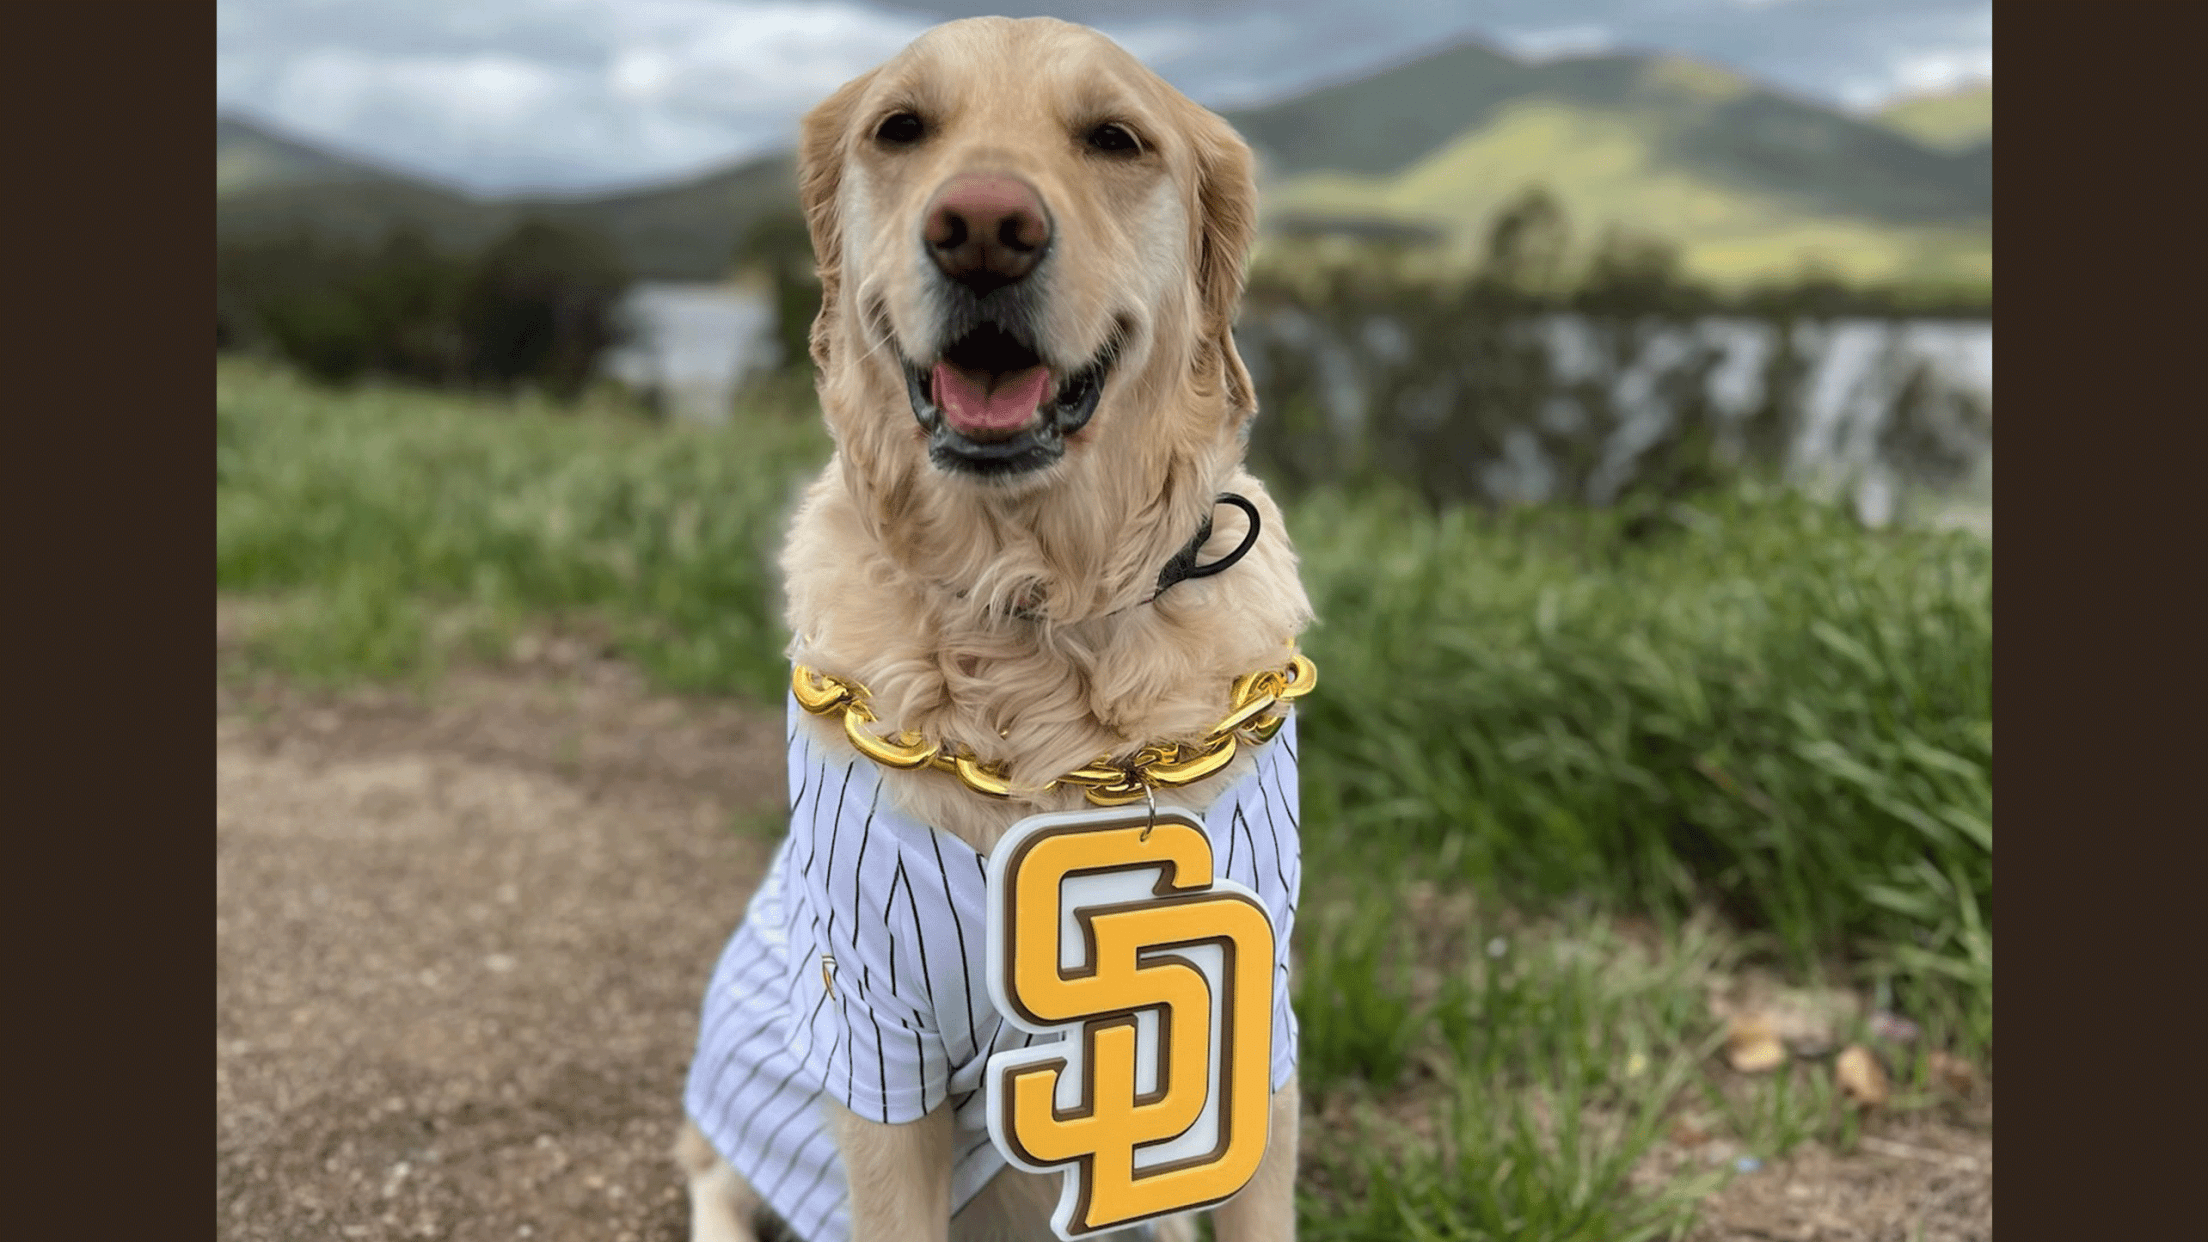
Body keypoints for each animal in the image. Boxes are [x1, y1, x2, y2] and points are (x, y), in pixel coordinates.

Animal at [675, 19, 1307, 1237]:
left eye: (1115, 138)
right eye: (900, 128)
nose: (981, 230)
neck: (1036, 611)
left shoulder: (1251, 1006)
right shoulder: (872, 1028)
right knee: (711, 1173)